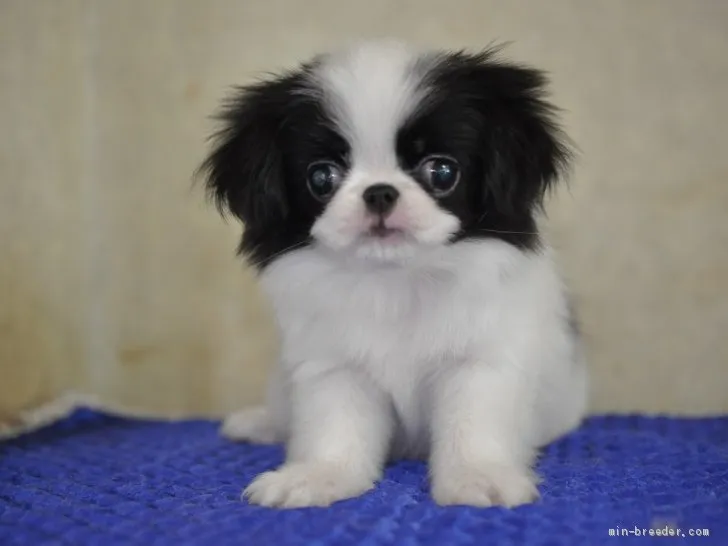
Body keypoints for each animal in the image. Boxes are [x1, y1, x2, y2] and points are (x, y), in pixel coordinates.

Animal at [202, 40, 588, 508]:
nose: (379, 192)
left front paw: (477, 478)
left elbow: (472, 425)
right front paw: (319, 476)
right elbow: (335, 428)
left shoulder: (479, 363)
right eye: (321, 177)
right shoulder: (335, 368)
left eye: (442, 171)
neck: (396, 281)